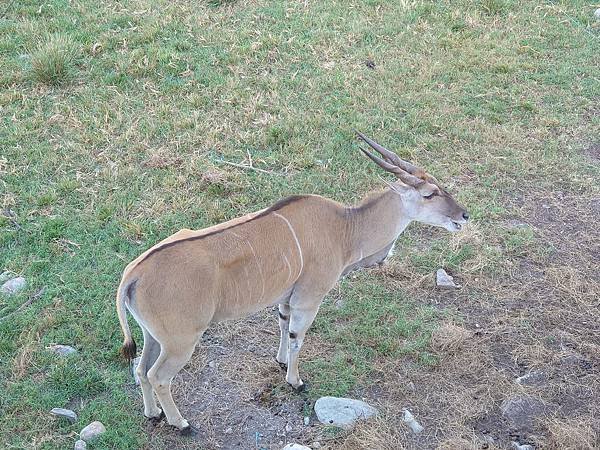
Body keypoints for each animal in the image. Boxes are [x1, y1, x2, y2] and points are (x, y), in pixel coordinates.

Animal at [116, 132, 468, 434]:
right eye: (430, 194)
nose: (463, 215)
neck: (345, 228)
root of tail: (133, 274)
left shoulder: (287, 300)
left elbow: (284, 325)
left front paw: (281, 361)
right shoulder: (309, 299)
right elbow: (299, 337)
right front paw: (295, 381)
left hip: (154, 336)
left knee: (140, 370)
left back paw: (153, 414)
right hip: (181, 342)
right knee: (159, 376)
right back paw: (181, 423)